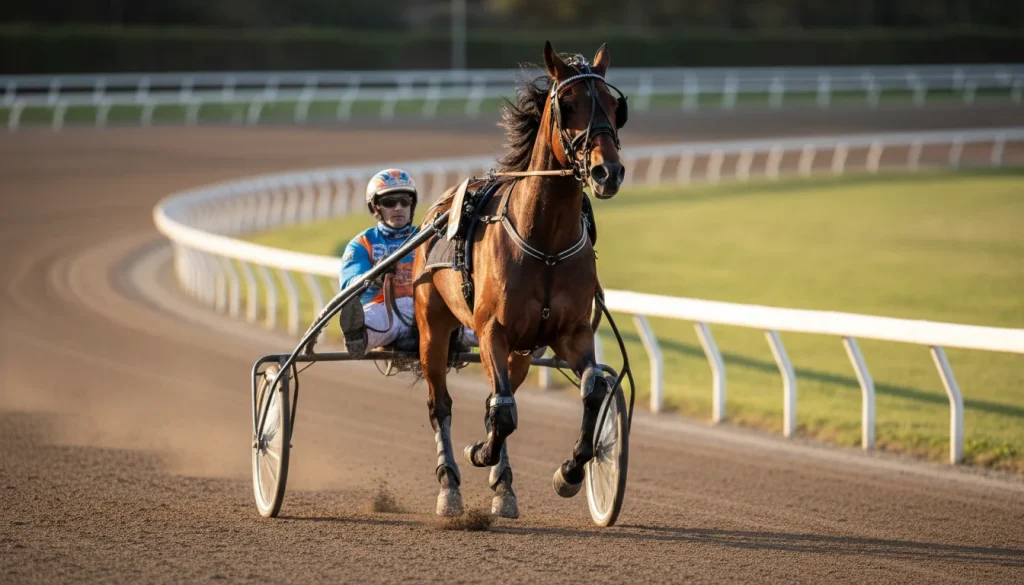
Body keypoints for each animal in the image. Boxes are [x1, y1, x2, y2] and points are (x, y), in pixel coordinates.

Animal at [412, 41, 628, 518]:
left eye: (613, 105)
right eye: (568, 104)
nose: (607, 172)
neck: (543, 242)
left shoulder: (571, 332)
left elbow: (591, 390)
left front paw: (570, 472)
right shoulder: (492, 330)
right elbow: (504, 412)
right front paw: (479, 452)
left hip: (523, 353)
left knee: (501, 395)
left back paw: (504, 486)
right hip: (432, 327)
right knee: (442, 404)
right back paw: (450, 484)